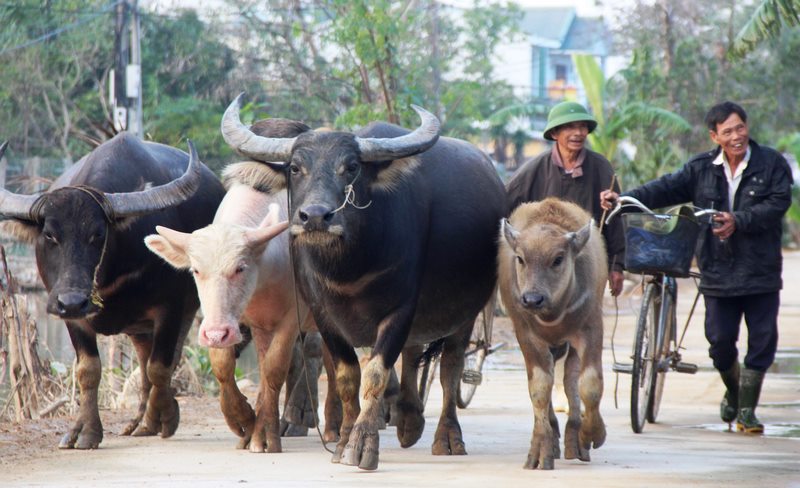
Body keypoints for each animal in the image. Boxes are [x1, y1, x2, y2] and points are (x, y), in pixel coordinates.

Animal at [0, 134, 225, 450]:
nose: (73, 301)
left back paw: (151, 419)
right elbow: (88, 370)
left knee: (164, 360)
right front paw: (84, 431)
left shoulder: (170, 308)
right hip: (138, 327)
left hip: (187, 310)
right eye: (50, 235)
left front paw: (166, 417)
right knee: (142, 362)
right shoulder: (72, 317)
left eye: (97, 234)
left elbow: (160, 366)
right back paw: (139, 422)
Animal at [220, 94, 506, 468]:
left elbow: (375, 373)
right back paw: (409, 420)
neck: (351, 267)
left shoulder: (400, 310)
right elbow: (347, 375)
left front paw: (362, 445)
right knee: (414, 354)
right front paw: (343, 441)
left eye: (352, 166)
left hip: (466, 313)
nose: (315, 217)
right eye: (295, 167)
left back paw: (447, 437)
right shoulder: (323, 315)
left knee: (450, 367)